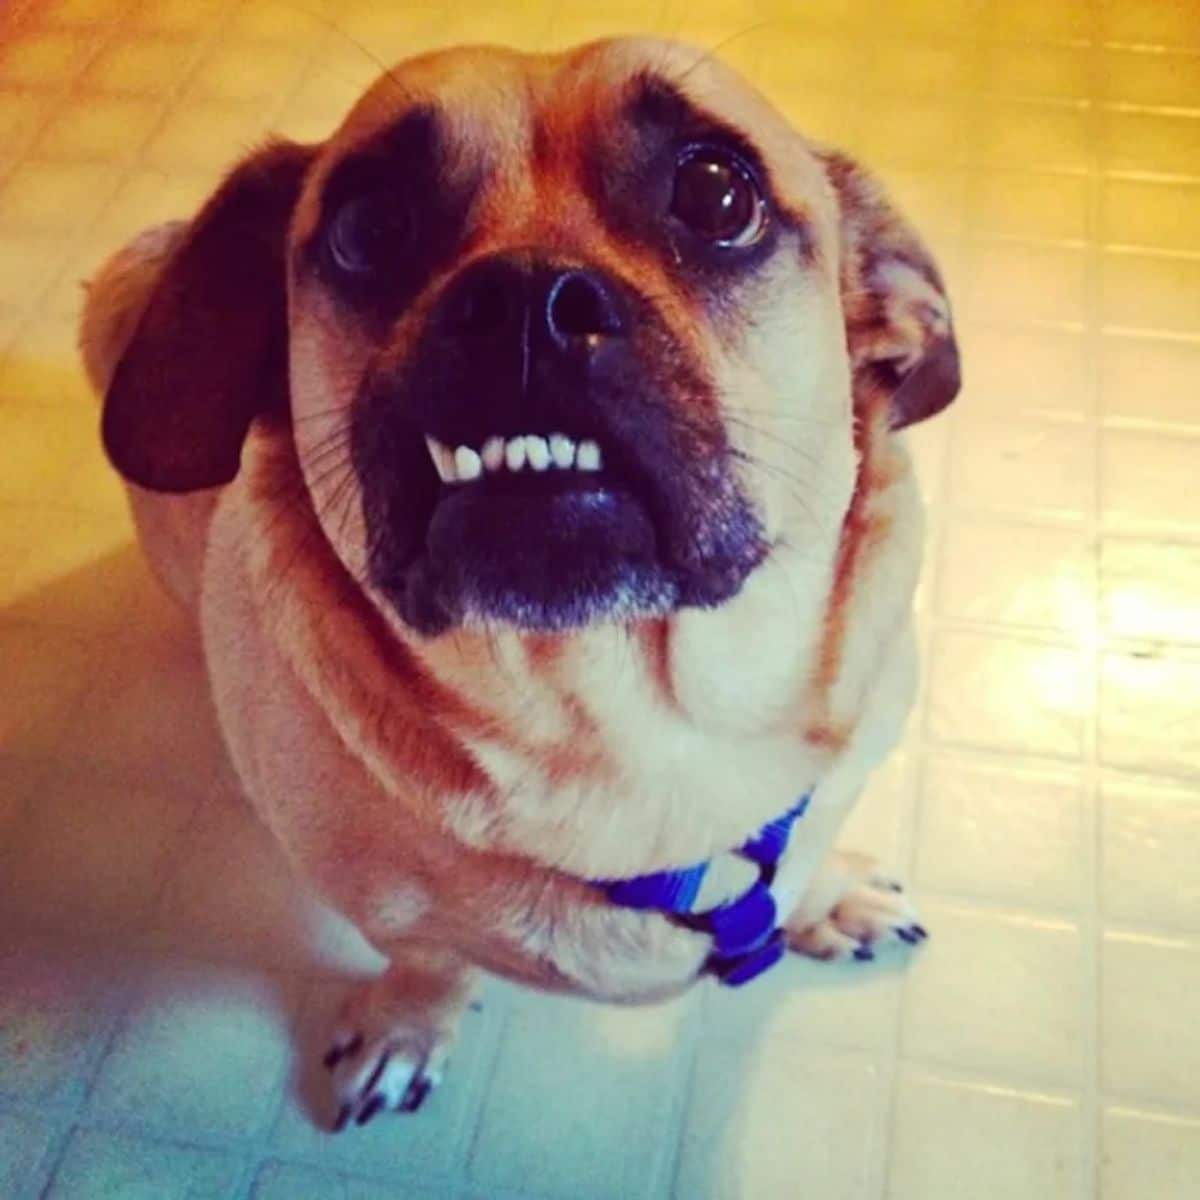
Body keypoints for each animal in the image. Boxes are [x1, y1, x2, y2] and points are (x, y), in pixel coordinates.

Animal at [79, 35, 960, 1123]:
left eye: (717, 193)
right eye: (369, 226)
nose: (526, 302)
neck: (629, 729)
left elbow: (801, 852)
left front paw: (824, 892)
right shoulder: (388, 909)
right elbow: (431, 959)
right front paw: (411, 1024)